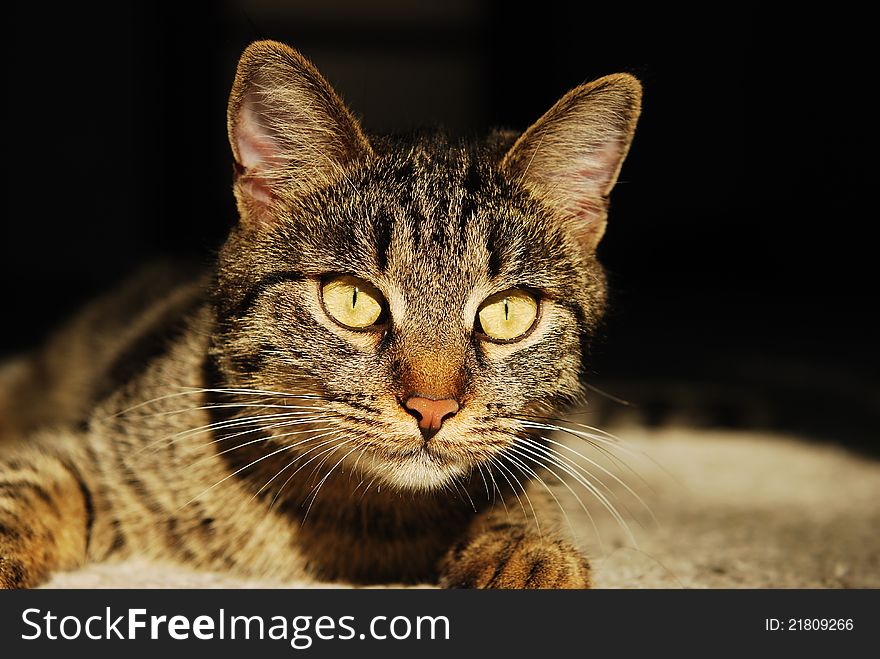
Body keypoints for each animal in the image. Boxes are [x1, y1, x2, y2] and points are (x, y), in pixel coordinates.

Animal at [0, 40, 640, 588]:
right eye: (352, 300)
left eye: (507, 313)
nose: (432, 409)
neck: (357, 524)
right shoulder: (87, 453)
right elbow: (23, 492)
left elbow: (525, 495)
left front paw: (526, 550)